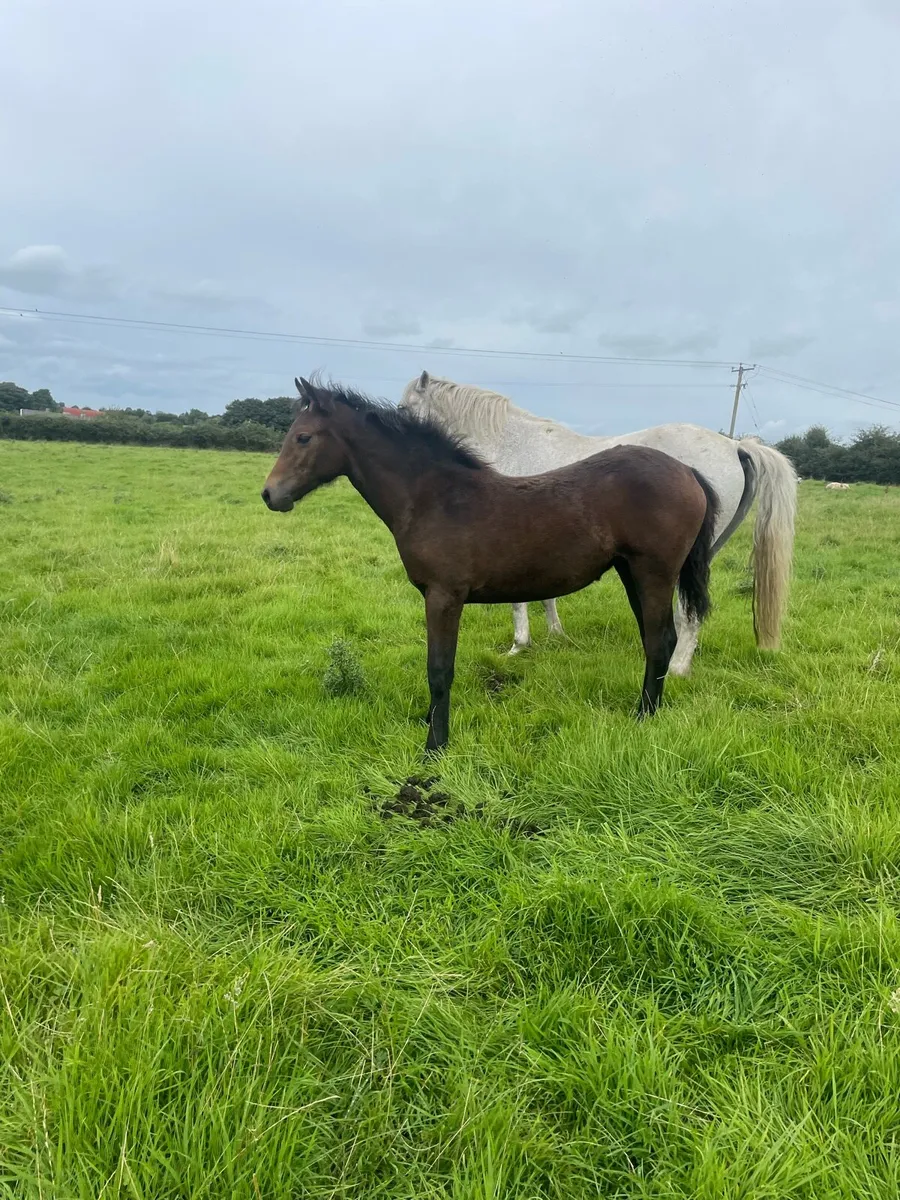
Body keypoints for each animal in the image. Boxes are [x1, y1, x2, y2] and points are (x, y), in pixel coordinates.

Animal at [262, 377, 720, 753]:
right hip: (631, 572)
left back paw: (643, 716)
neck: (434, 497)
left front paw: (435, 745)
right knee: (658, 639)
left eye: (303, 437)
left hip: (654, 572)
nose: (270, 495)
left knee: (660, 641)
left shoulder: (443, 597)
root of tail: (688, 471)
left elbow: (439, 669)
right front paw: (429, 726)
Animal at [399, 372, 797, 673]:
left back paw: (676, 669)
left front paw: (518, 645)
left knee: (689, 611)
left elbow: (519, 603)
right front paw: (556, 634)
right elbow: (545, 595)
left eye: (404, 407)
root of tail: (734, 446)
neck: (510, 444)